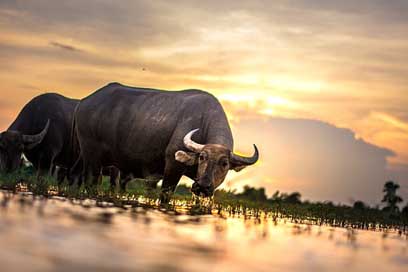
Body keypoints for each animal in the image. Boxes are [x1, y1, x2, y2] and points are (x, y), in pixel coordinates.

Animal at [75, 82, 256, 201]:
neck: (203, 122)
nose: (202, 186)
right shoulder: (172, 166)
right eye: (202, 157)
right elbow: (165, 195)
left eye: (224, 163)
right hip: (91, 157)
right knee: (90, 182)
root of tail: (84, 102)